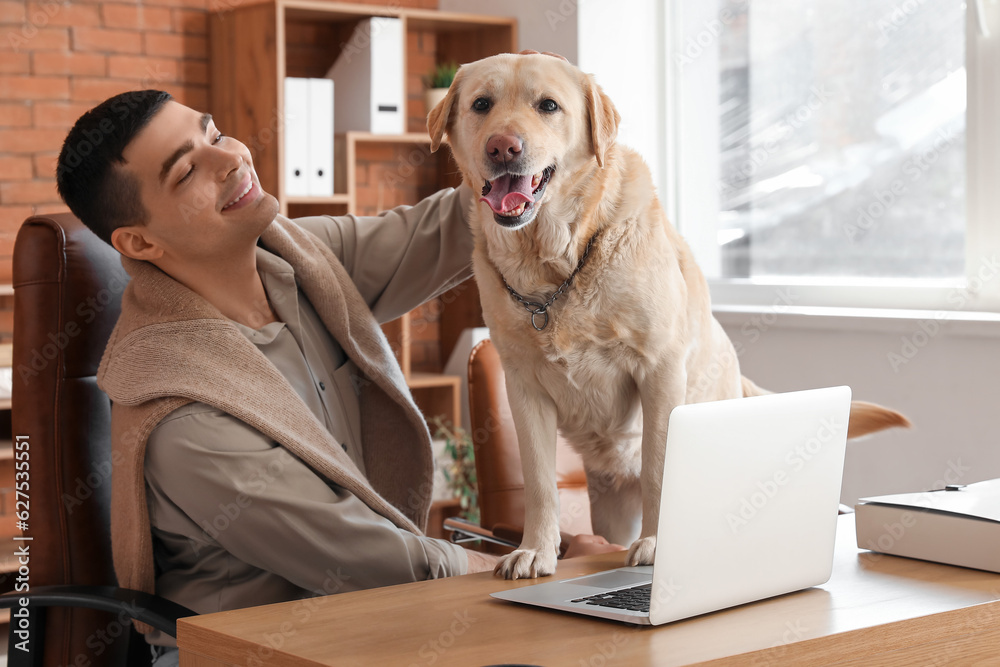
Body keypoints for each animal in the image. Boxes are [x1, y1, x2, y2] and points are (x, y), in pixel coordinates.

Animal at [428, 54, 908, 580]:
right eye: (481, 105)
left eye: (548, 106)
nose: (503, 147)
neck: (556, 268)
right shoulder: (524, 387)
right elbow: (538, 480)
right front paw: (536, 549)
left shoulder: (658, 369)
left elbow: (660, 464)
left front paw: (659, 544)